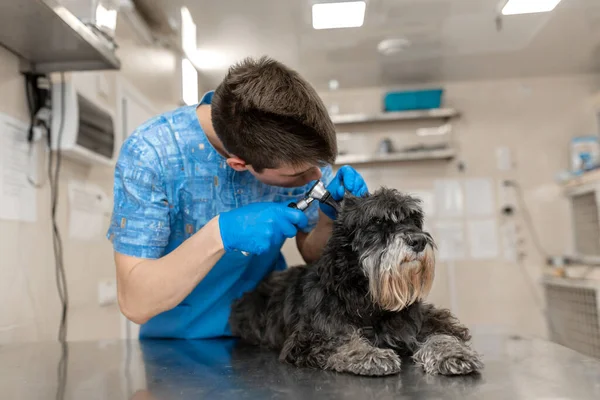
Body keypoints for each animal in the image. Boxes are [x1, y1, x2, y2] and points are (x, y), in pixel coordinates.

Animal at [230, 188, 482, 376]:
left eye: (414, 220)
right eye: (377, 222)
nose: (419, 241)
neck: (366, 295)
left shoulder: (423, 319)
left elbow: (441, 334)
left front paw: (453, 354)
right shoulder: (309, 336)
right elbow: (341, 340)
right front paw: (370, 354)